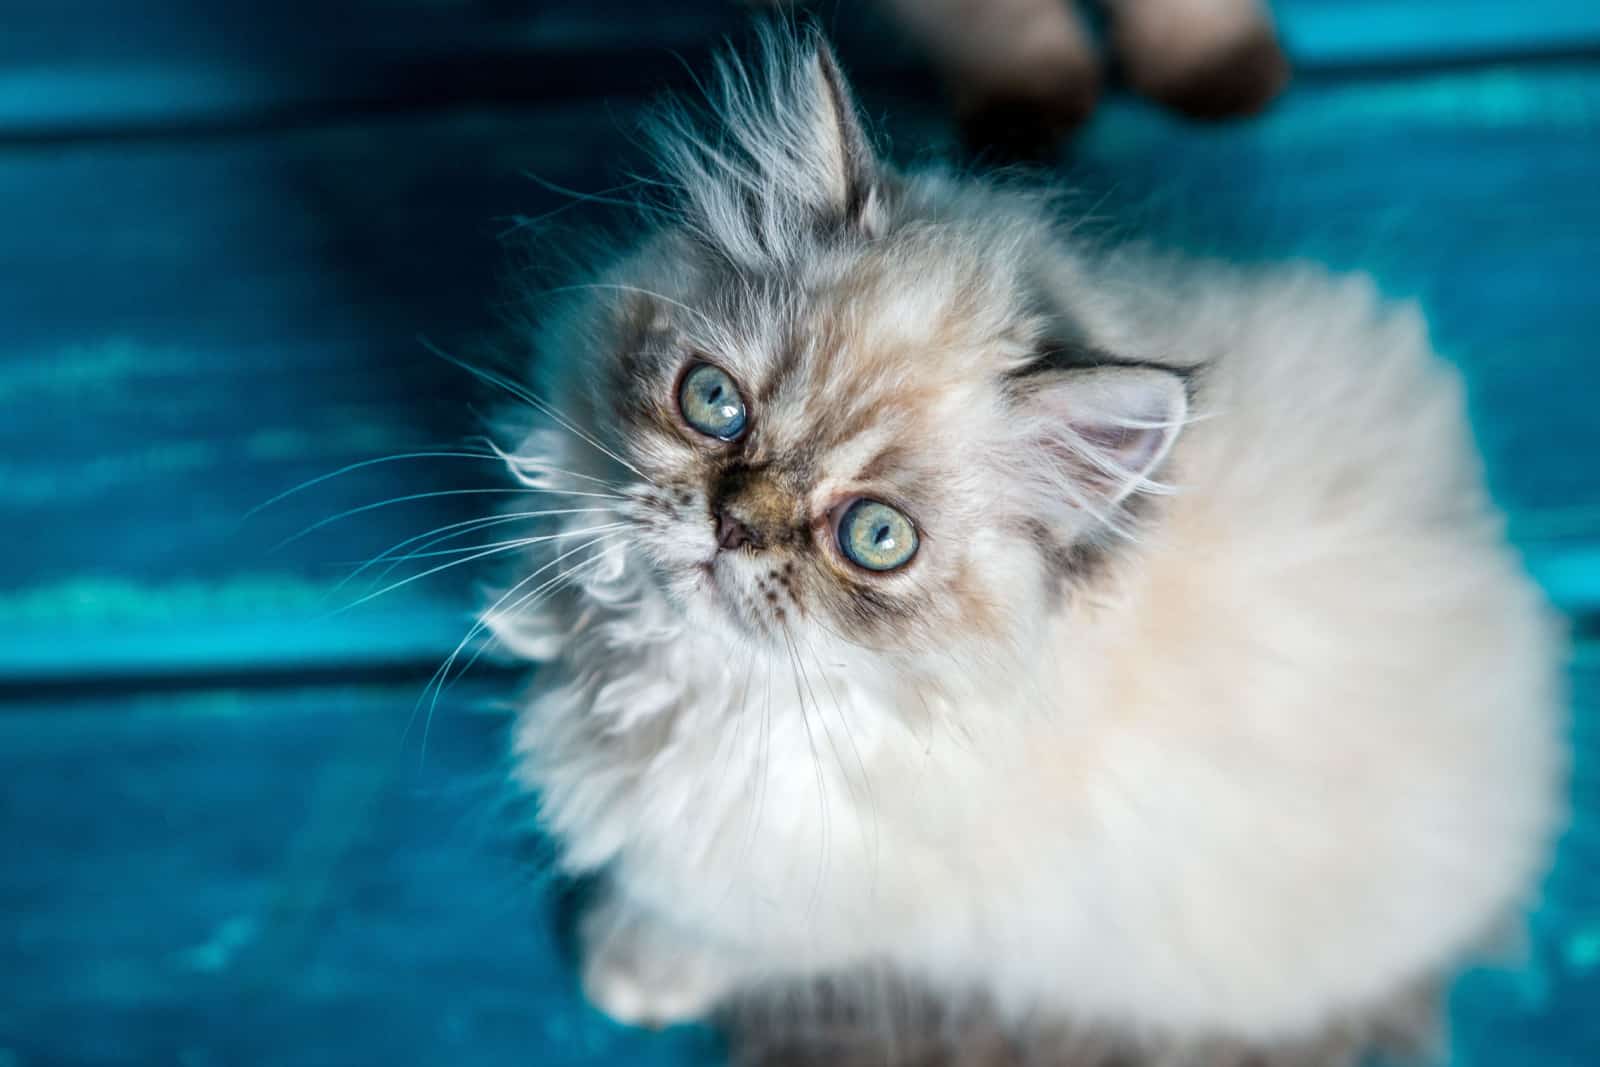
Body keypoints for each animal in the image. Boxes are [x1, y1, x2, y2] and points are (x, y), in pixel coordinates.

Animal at [483, 27, 1561, 1067]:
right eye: (714, 404)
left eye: (876, 537)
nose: (736, 522)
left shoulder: (800, 893)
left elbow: (693, 931)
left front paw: (625, 970)